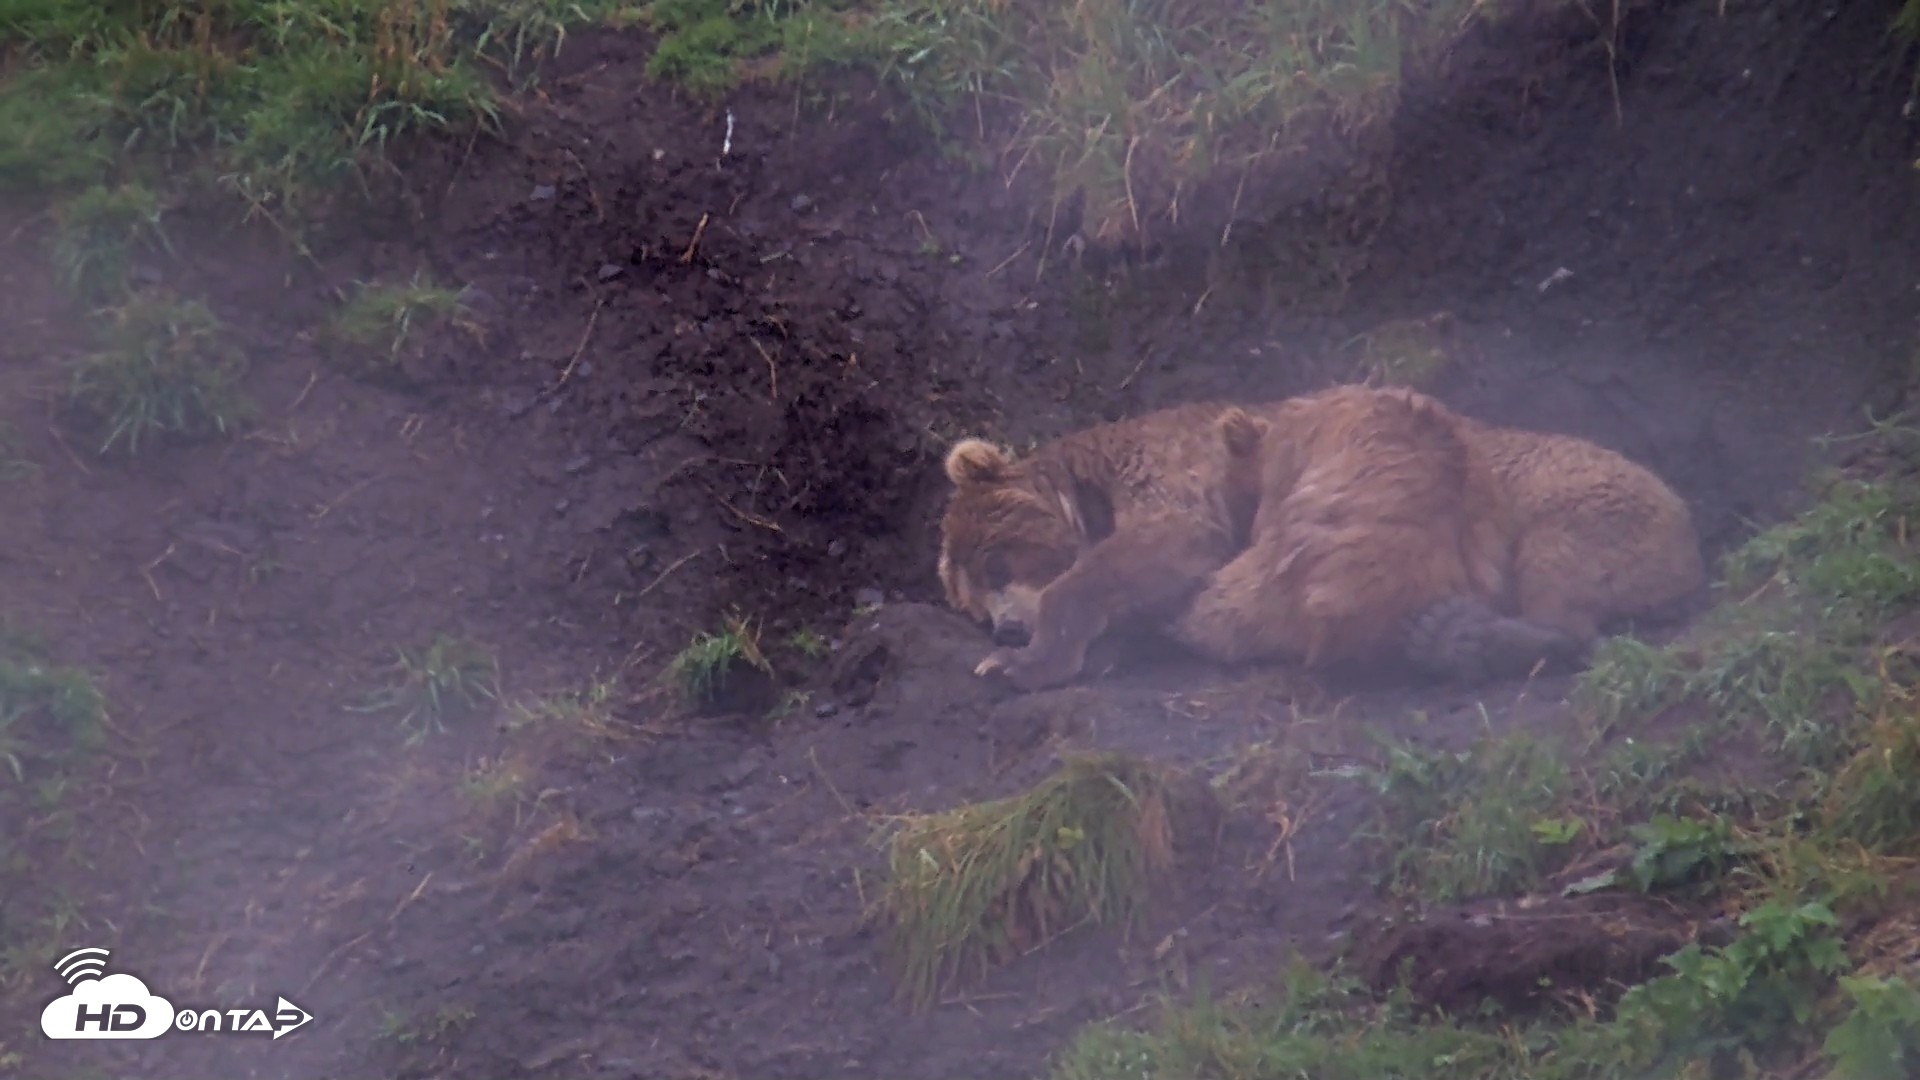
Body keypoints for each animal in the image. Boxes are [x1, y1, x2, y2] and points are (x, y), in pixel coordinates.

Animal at [937, 384, 1706, 692]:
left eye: (997, 561)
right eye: (969, 603)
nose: (1004, 630)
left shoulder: (1180, 478)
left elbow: (1160, 551)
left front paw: (1020, 665)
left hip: (1574, 498)